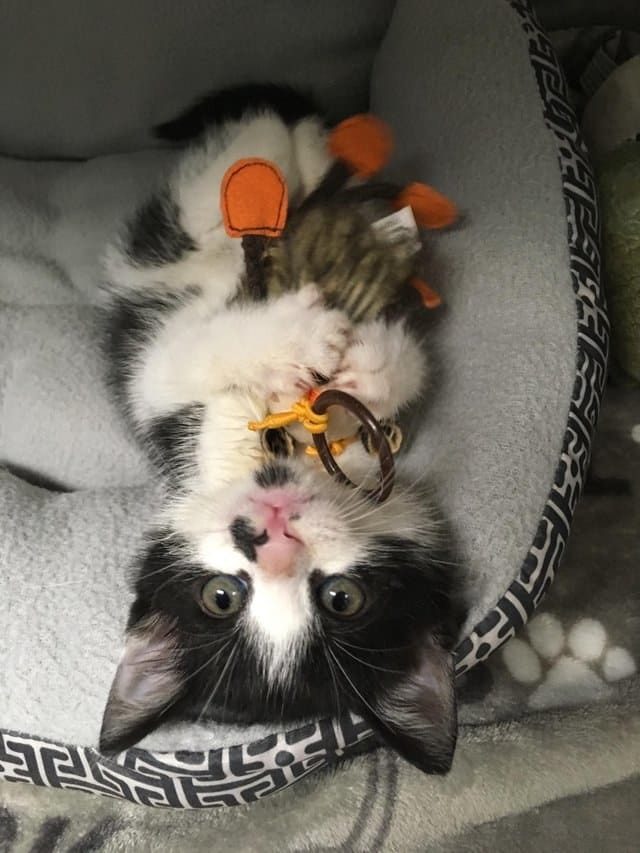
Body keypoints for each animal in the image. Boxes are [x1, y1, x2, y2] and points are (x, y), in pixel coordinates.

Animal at [99, 86, 465, 775]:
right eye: (221, 598)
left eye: (342, 599)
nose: (269, 533)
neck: (285, 453)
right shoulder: (160, 385)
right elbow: (187, 356)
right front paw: (299, 339)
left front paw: (372, 370)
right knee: (243, 168)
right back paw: (281, 157)